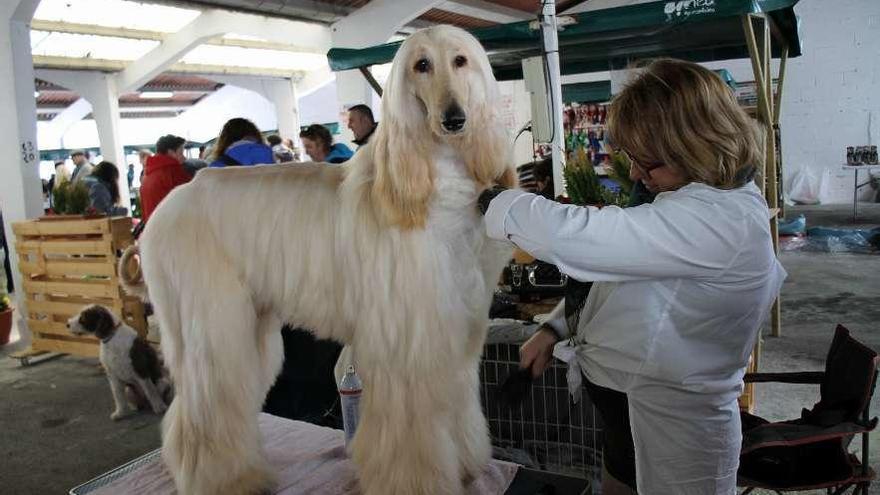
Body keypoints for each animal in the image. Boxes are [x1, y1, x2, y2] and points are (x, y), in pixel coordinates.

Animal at [117, 26, 516, 495]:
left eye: (460, 60)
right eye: (422, 65)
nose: (454, 119)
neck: (431, 187)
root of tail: (164, 209)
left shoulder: (456, 329)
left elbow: (457, 405)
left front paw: (469, 466)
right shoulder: (403, 341)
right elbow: (410, 429)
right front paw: (415, 481)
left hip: (245, 324)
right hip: (213, 320)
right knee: (206, 404)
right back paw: (227, 478)